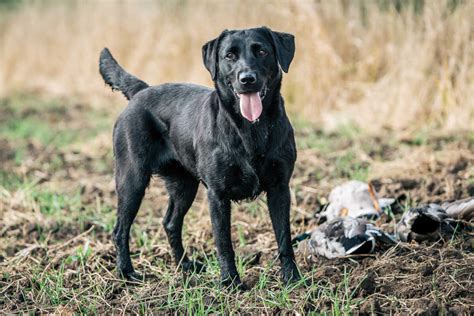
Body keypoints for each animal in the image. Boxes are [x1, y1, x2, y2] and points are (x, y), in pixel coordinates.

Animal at [99, 26, 300, 288]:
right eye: (229, 55)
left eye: (262, 51)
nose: (247, 79)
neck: (250, 128)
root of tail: (141, 91)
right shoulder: (217, 194)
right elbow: (224, 243)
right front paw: (231, 283)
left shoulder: (280, 188)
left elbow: (284, 238)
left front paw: (292, 279)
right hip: (132, 180)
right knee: (120, 230)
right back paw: (127, 273)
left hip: (183, 185)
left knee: (170, 223)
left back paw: (185, 266)